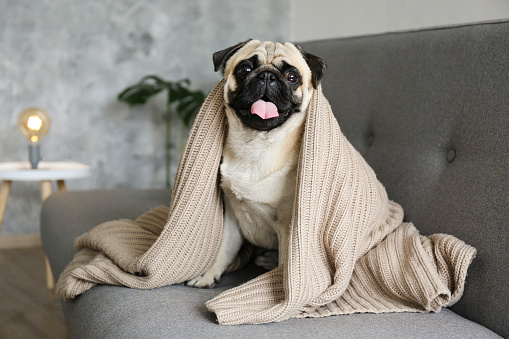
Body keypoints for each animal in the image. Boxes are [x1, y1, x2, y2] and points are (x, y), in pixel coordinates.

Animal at [187, 40, 326, 290]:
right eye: (245, 70)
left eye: (292, 76)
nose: (267, 76)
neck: (256, 145)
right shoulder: (232, 218)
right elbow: (224, 251)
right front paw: (208, 275)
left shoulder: (287, 227)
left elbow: (286, 263)